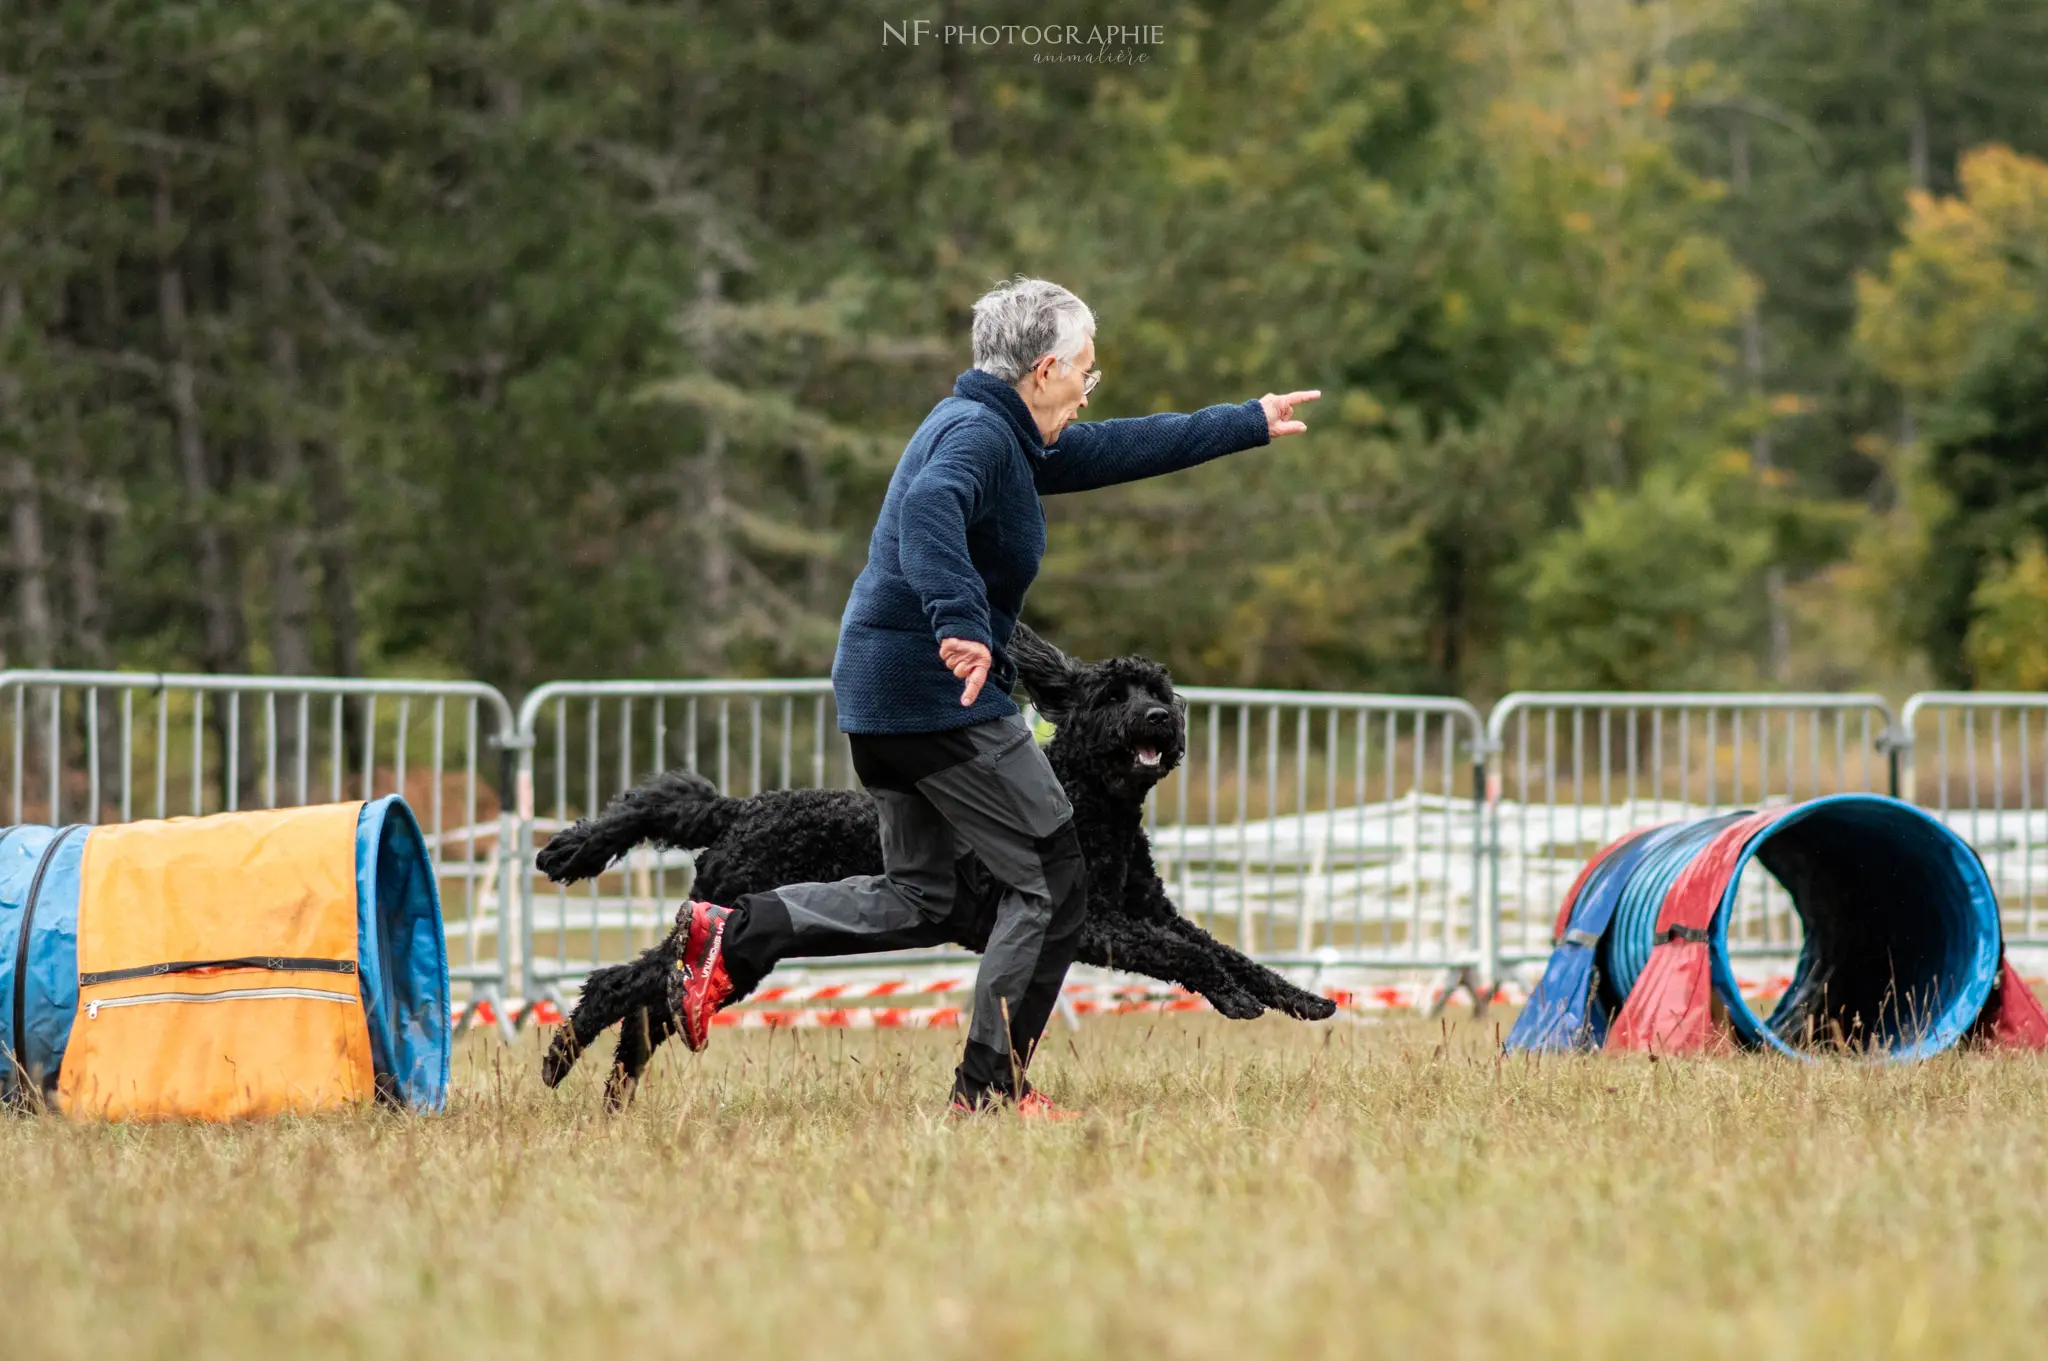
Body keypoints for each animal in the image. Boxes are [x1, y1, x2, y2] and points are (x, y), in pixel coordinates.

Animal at [536, 626, 1335, 1105]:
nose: (1161, 720)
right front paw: (1233, 1000)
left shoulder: (1145, 908)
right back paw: (562, 1056)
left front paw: (1303, 998)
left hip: (733, 944)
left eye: (1158, 691)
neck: (1089, 801)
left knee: (657, 997)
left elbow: (1226, 950)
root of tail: (737, 811)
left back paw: (614, 1088)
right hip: (738, 925)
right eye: (1115, 695)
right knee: (624, 982)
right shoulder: (1098, 922)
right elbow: (1184, 955)